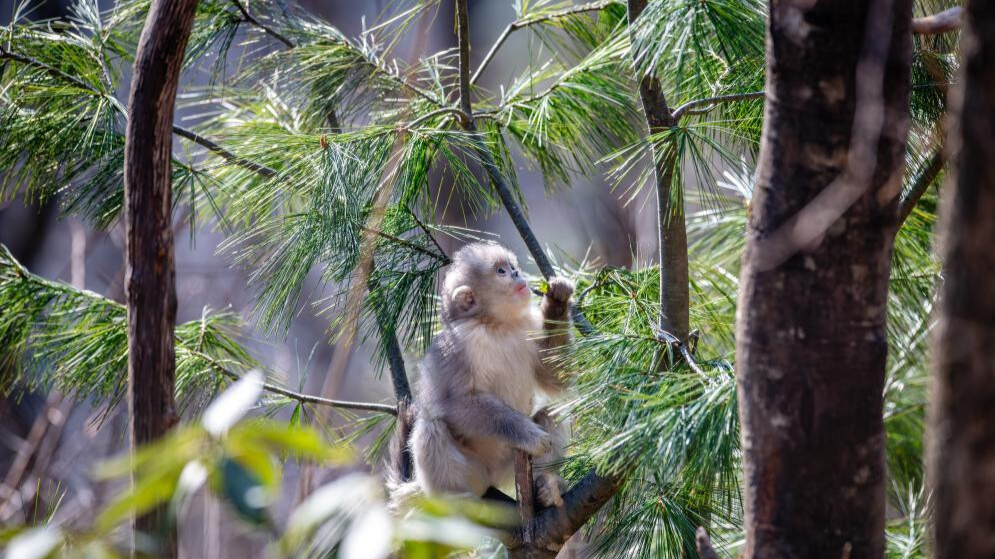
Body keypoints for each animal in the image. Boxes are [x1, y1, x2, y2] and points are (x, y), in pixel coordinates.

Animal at [392, 243, 576, 510]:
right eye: (501, 271)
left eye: (512, 266)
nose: (517, 274)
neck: (497, 326)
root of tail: (491, 478)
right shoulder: (457, 345)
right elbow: (455, 402)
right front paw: (529, 435)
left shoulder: (528, 328)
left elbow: (557, 376)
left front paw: (557, 299)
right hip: (473, 473)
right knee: (431, 426)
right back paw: (452, 500)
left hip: (509, 467)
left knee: (551, 412)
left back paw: (544, 487)